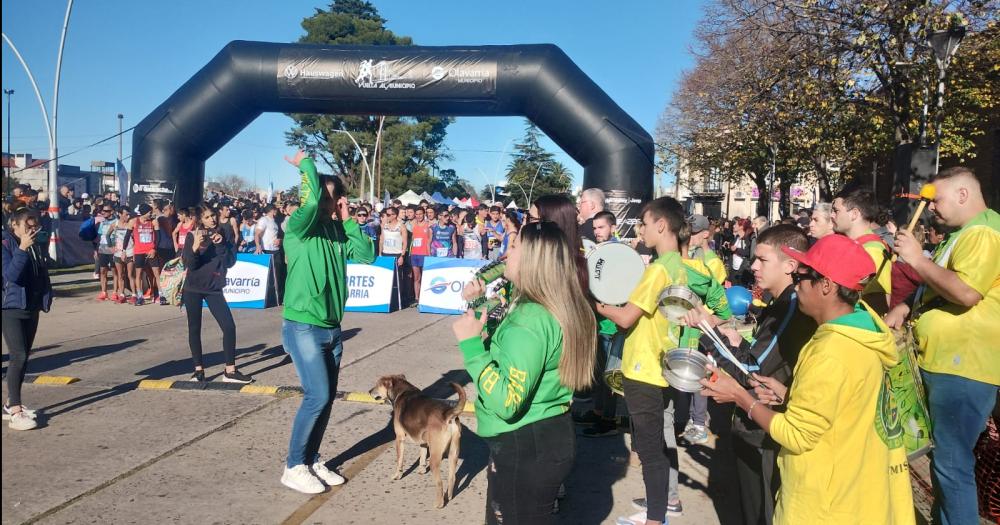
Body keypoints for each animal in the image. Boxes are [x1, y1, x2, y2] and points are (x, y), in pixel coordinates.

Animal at [370, 374, 466, 506]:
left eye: (377, 384)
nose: (369, 391)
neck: (402, 391)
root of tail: (447, 415)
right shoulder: (423, 441)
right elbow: (422, 455)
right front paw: (421, 469)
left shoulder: (399, 438)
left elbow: (399, 461)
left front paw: (397, 475)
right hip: (453, 453)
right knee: (452, 477)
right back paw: (449, 496)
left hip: (435, 458)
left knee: (439, 482)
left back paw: (439, 504)